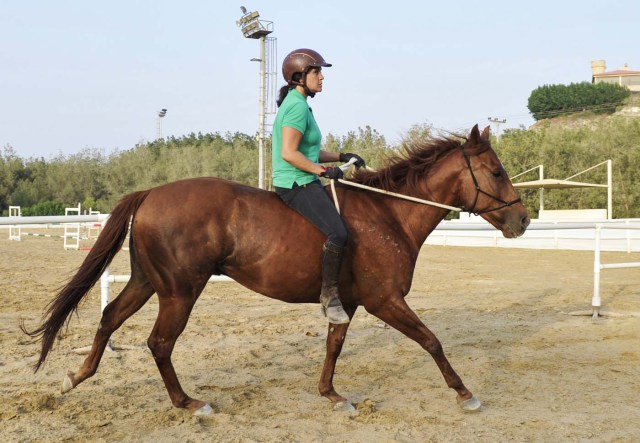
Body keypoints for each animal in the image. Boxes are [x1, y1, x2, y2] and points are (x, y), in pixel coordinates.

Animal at [22, 124, 528, 416]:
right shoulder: (386, 300)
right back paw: (188, 403)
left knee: (110, 319)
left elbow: (334, 346)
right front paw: (465, 394)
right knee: (159, 342)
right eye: (496, 171)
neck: (390, 214)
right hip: (180, 291)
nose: (523, 221)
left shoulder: (350, 303)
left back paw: (75, 378)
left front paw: (331, 395)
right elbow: (431, 341)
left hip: (148, 282)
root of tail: (150, 193)